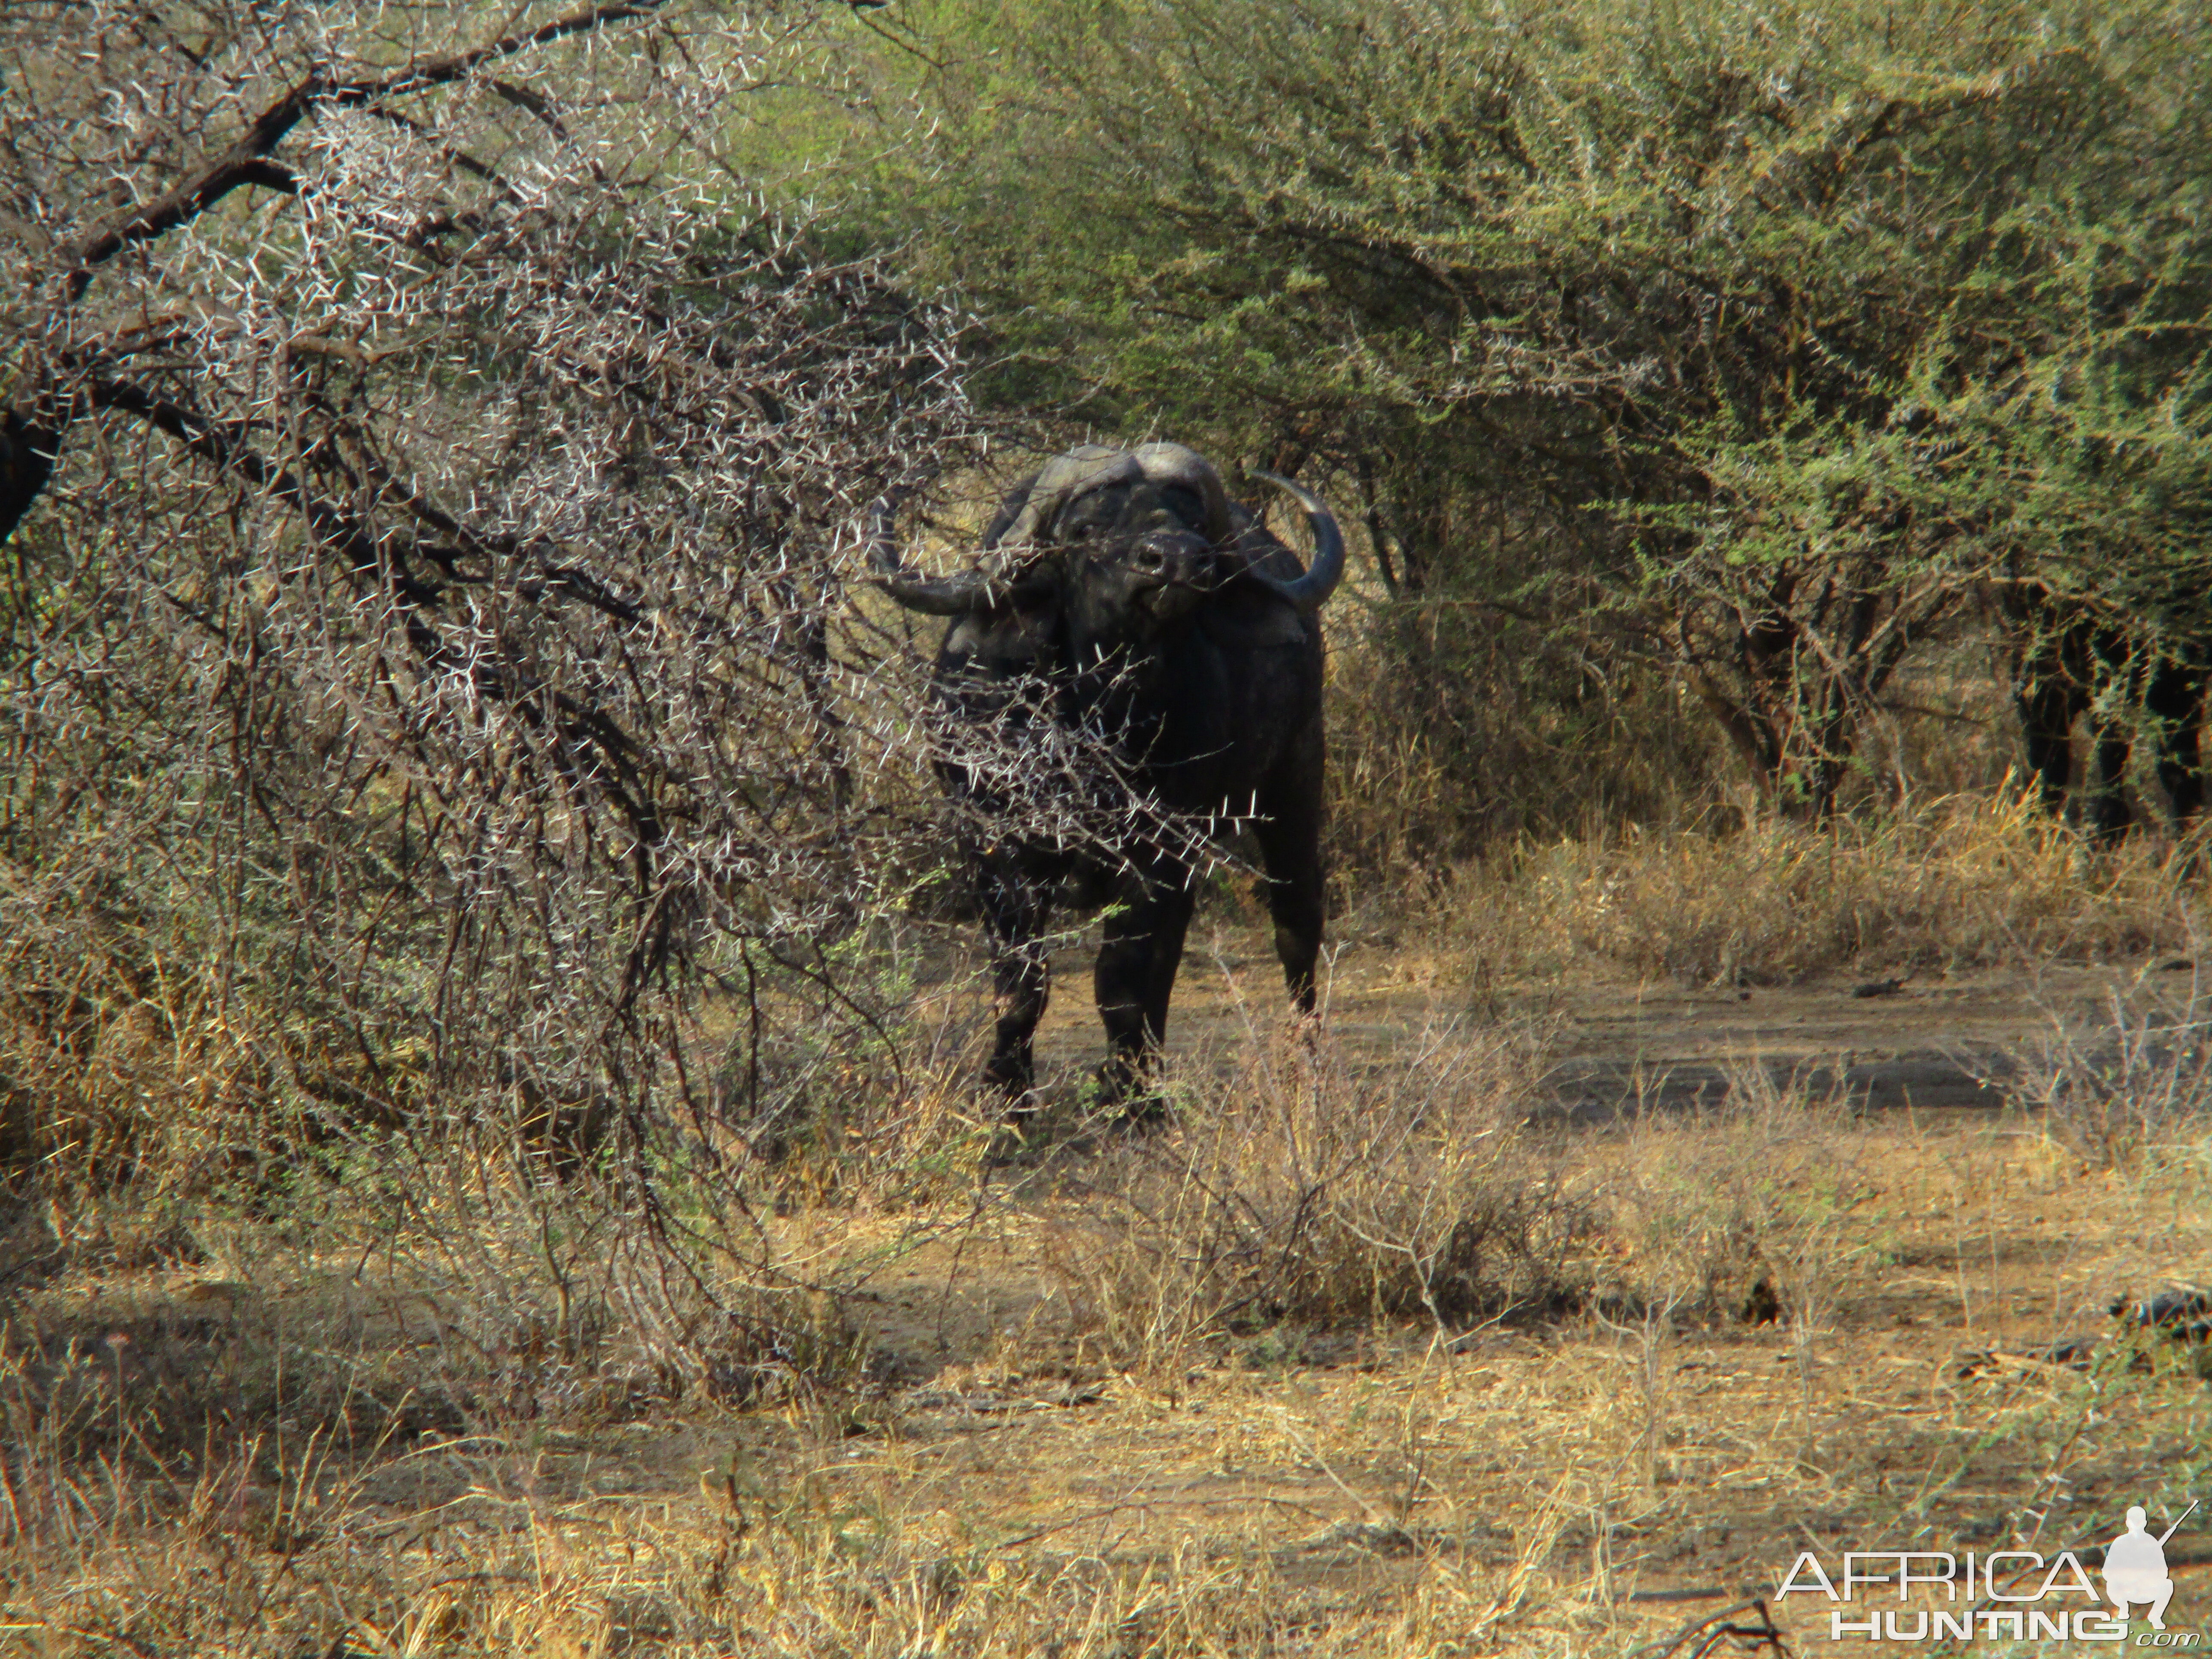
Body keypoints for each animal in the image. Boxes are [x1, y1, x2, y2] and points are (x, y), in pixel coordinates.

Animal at [871, 444, 1336, 1119]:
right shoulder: (991, 846)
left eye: (1194, 524)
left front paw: (1132, 1102)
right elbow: (1021, 984)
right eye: (1086, 530)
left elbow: (1122, 983)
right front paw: (1008, 1100)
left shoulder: (1157, 853)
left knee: (1295, 930)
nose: (1176, 559)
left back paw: (1304, 1069)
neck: (1096, 724)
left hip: (1293, 788)